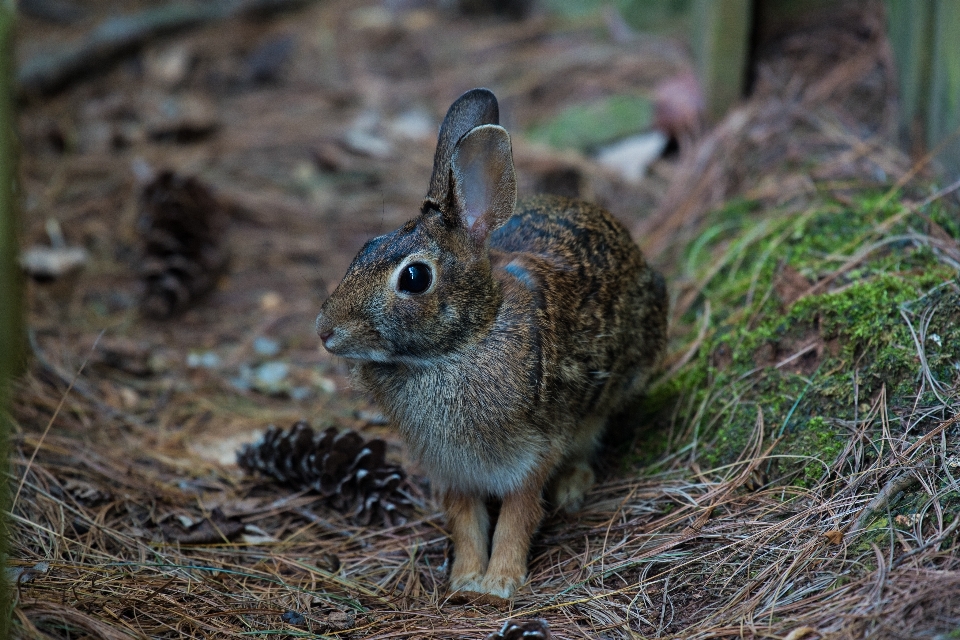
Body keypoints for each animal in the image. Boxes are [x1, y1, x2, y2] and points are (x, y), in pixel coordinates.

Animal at [316, 87, 668, 604]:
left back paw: (572, 488)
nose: (325, 331)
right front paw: (465, 580)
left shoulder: (533, 453)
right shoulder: (452, 471)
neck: (463, 343)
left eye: (414, 277)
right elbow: (465, 522)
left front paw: (500, 584)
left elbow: (517, 517)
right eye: (365, 247)